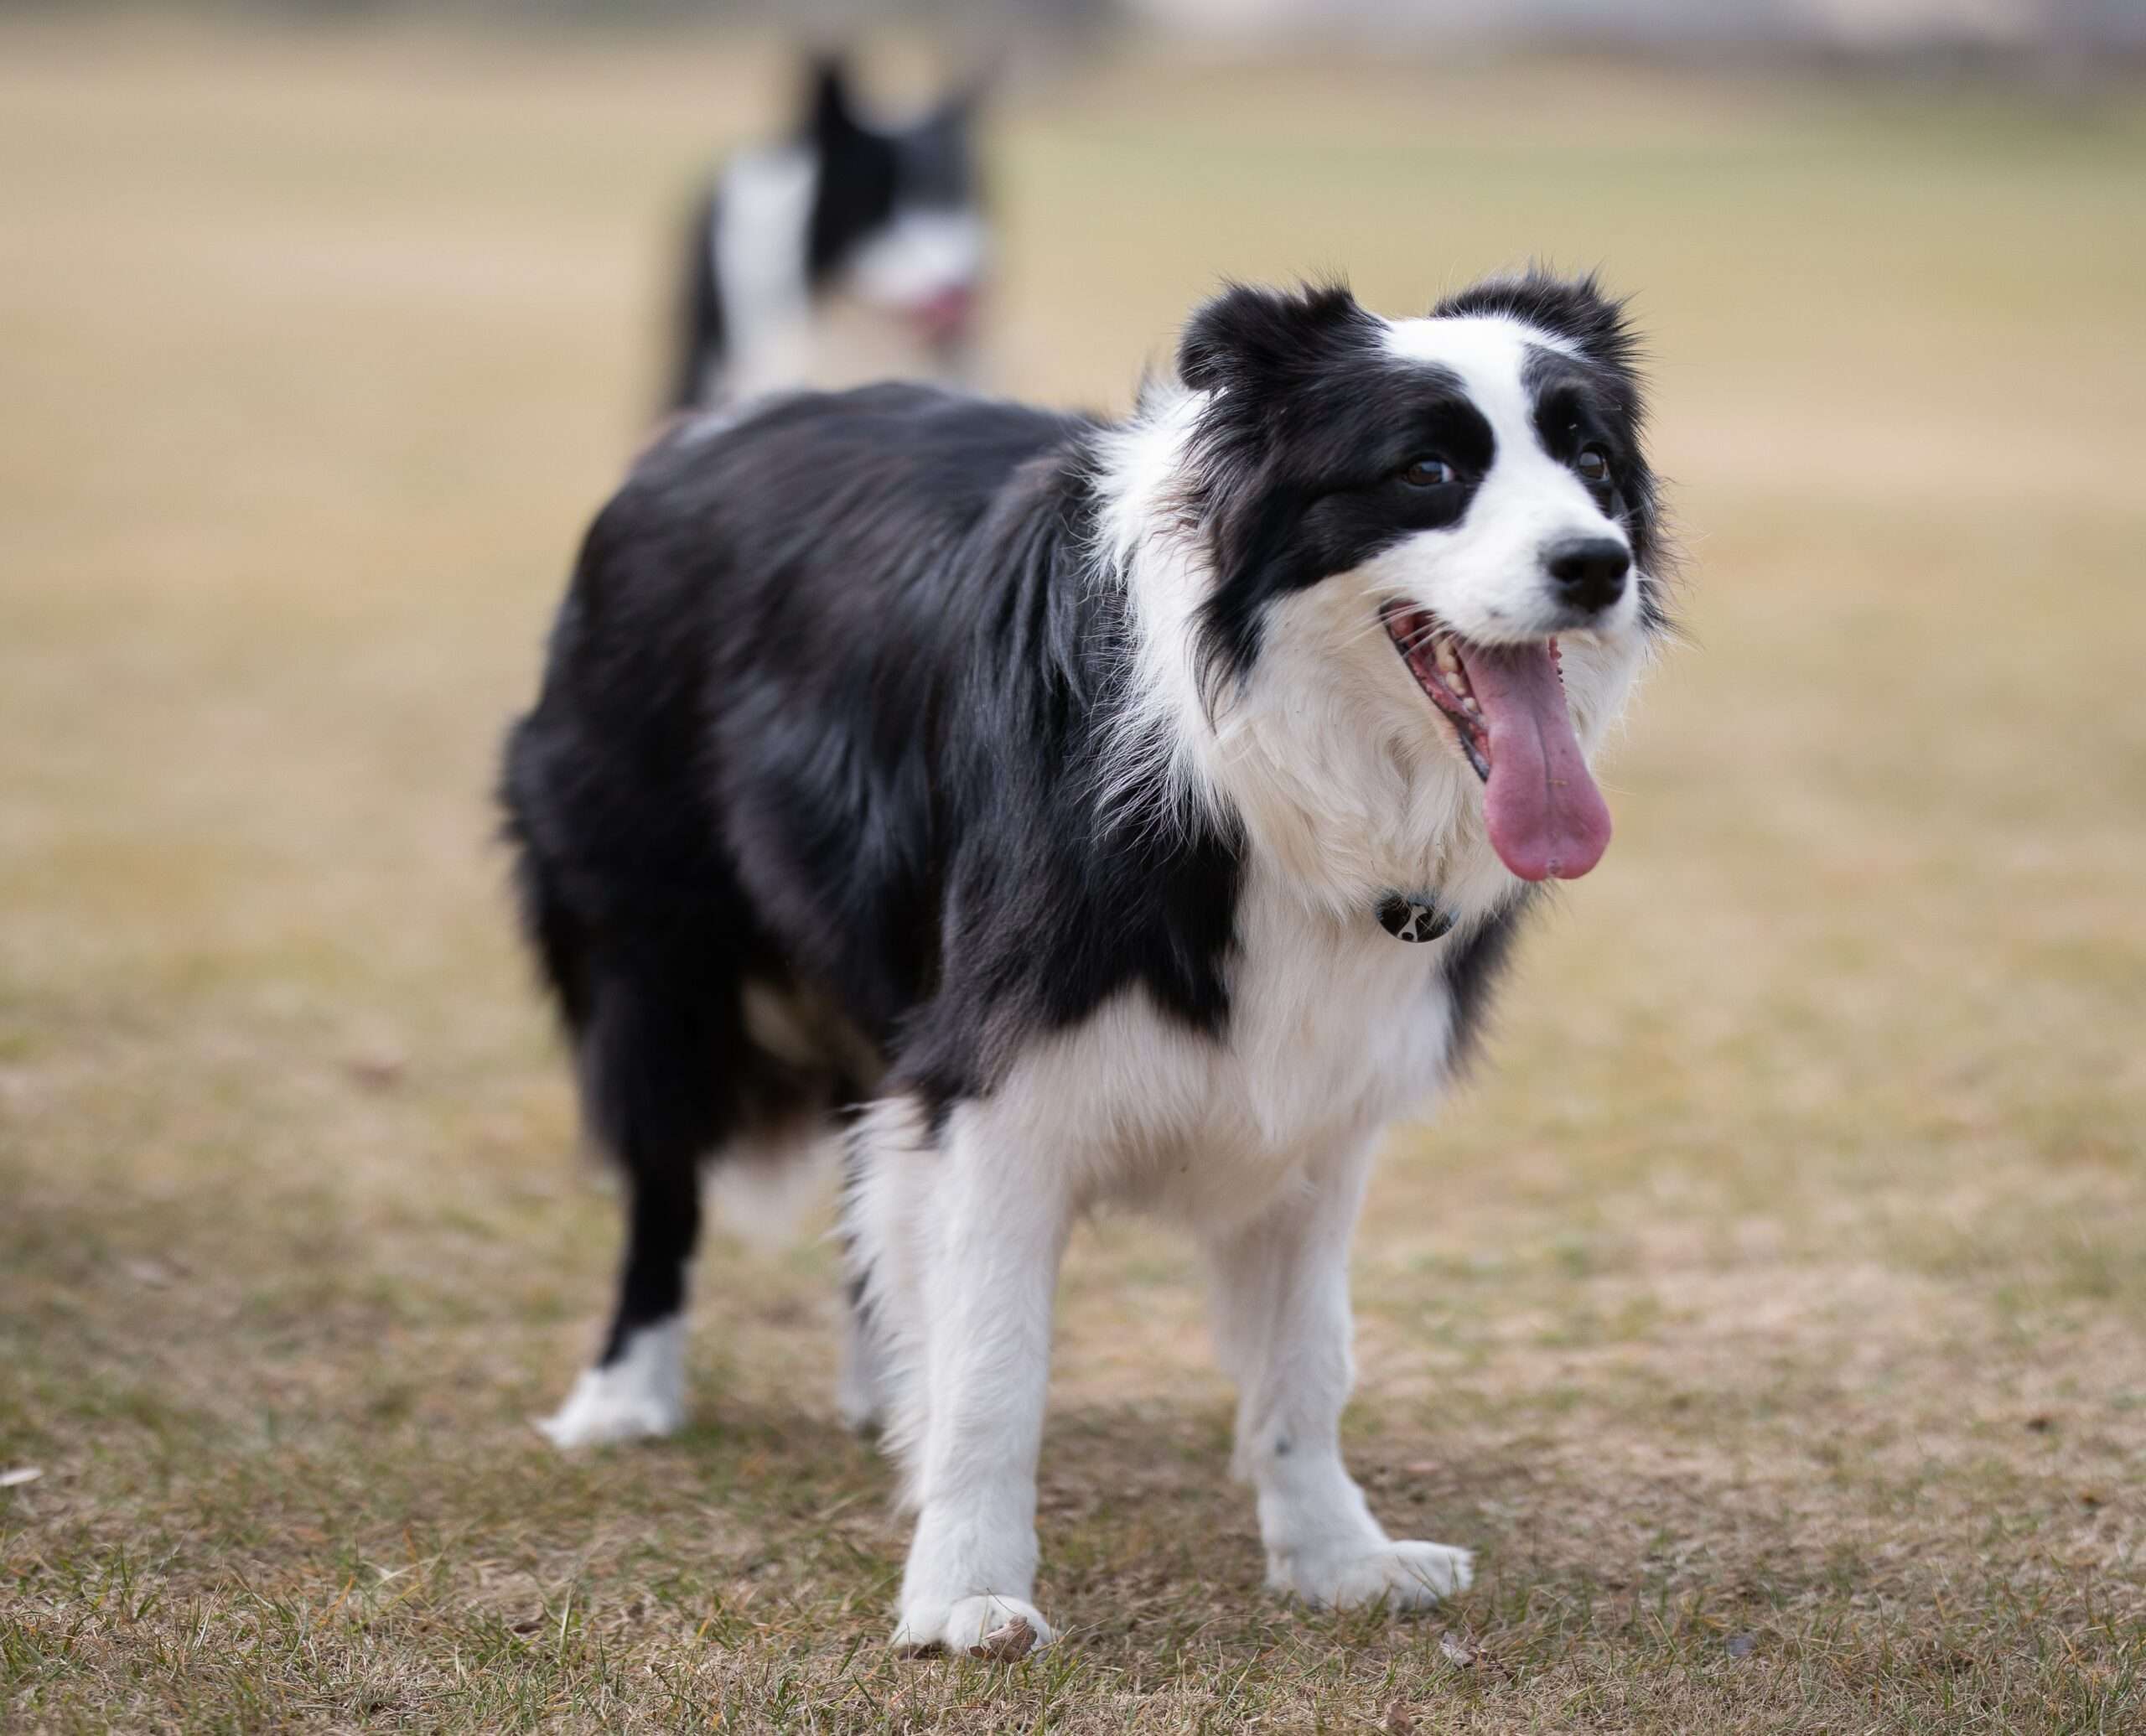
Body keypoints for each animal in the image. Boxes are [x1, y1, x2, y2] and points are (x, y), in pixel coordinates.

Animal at [497, 267, 1656, 1639]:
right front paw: (966, 1592)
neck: (1260, 760)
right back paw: (627, 1396)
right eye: (1427, 469)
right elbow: (998, 1367)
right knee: (665, 1180)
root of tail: (695, 437)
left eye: (1592, 460)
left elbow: (1306, 1358)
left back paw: (883, 1389)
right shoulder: (1002, 1079)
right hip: (654, 946)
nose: (1597, 564)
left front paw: (1336, 1556)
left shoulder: (1324, 1107)